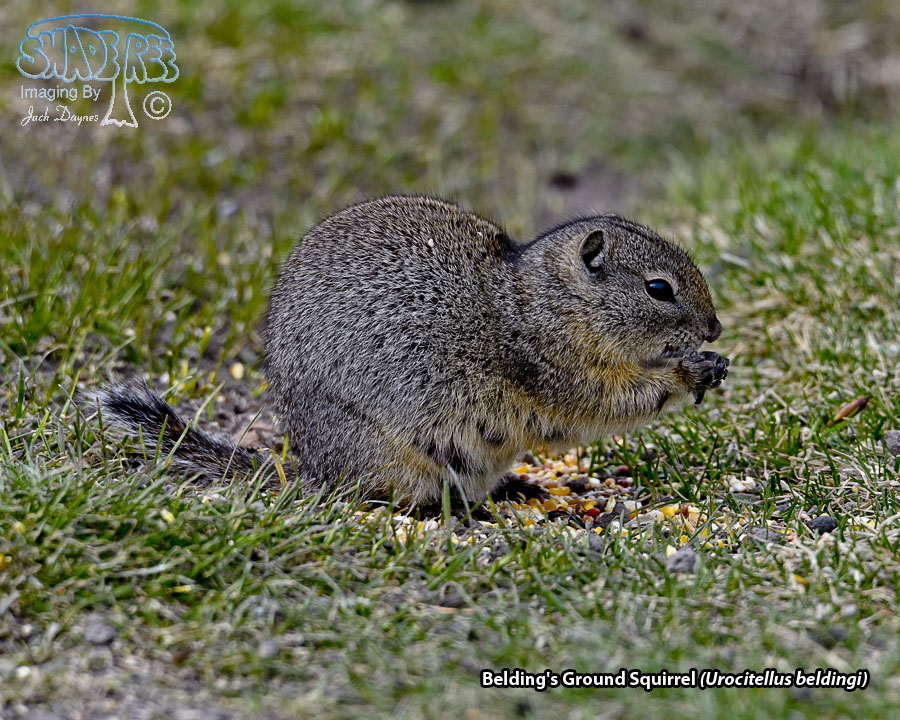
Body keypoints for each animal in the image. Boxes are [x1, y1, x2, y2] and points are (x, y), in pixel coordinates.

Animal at [93, 195, 728, 509]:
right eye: (658, 288)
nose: (717, 329)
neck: (540, 301)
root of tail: (313, 468)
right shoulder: (553, 367)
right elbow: (609, 401)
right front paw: (689, 372)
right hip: (397, 458)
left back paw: (515, 487)